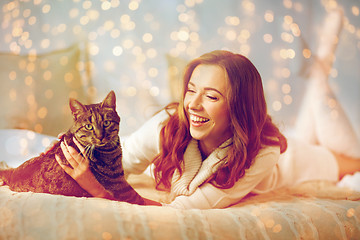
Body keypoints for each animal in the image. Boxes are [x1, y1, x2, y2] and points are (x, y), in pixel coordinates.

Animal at [0, 91, 143, 205]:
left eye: (106, 123)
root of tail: (13, 175)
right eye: (89, 126)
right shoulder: (120, 185)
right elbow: (140, 199)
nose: (100, 136)